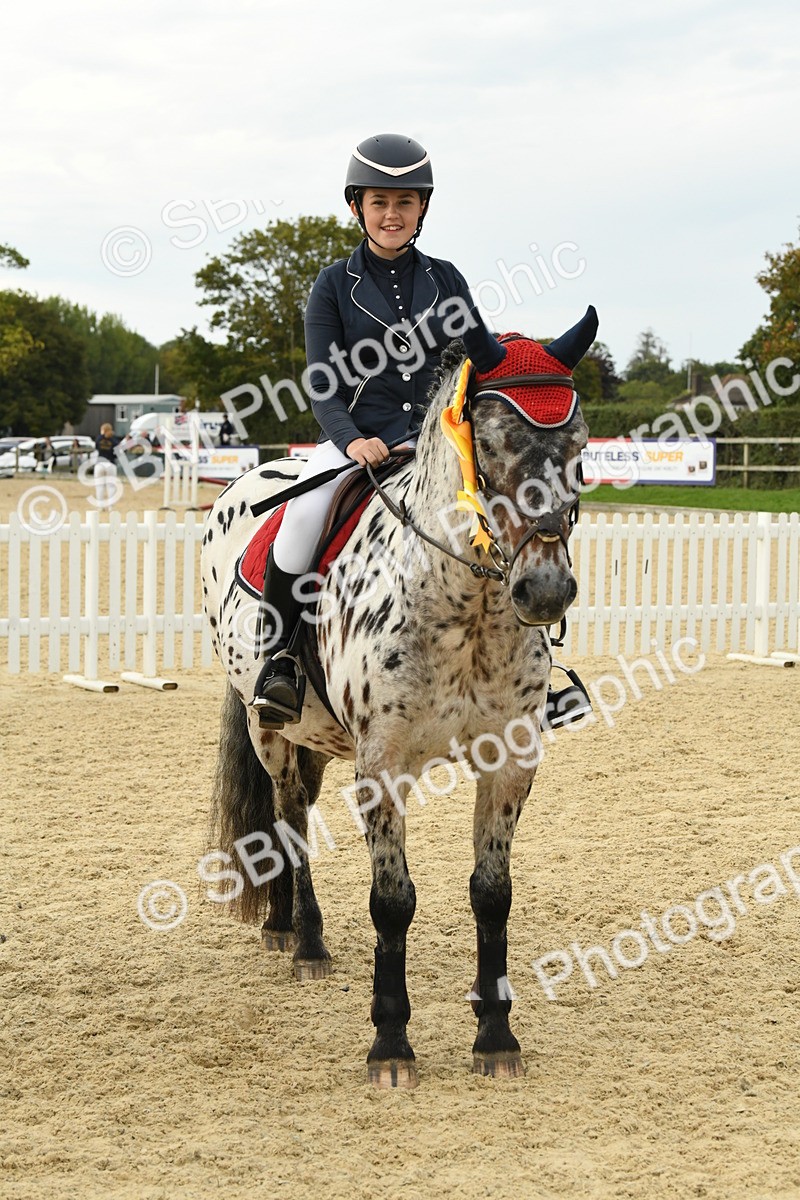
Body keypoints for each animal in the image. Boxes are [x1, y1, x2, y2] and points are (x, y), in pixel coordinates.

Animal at [200, 306, 596, 1088]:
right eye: (491, 444)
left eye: (580, 443)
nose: (545, 591)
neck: (468, 606)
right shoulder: (382, 766)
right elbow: (392, 900)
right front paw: (390, 1043)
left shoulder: (510, 761)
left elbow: (492, 892)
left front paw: (496, 1036)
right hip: (270, 731)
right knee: (289, 817)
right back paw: (304, 942)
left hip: (321, 738)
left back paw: (283, 924)